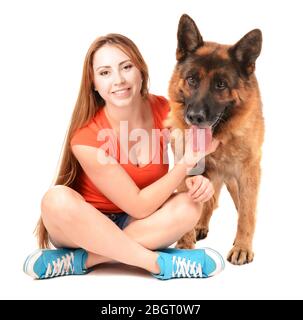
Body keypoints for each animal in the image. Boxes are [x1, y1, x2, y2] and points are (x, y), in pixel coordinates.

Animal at [167, 14, 264, 264]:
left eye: (221, 85)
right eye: (192, 79)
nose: (194, 117)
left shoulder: (248, 173)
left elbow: (247, 213)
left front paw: (242, 246)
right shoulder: (188, 173)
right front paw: (185, 244)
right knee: (209, 202)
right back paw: (200, 225)